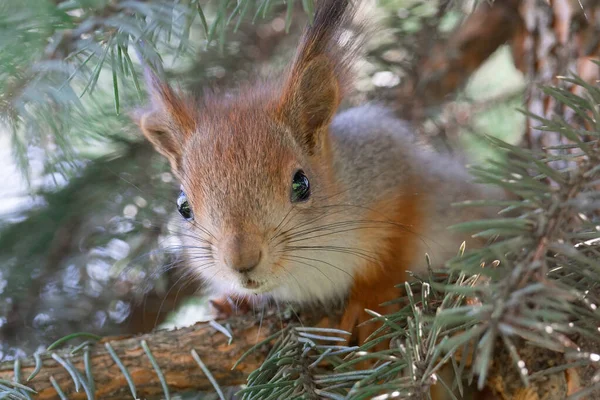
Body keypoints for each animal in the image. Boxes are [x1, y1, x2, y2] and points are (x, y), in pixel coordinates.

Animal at [131, 0, 502, 344]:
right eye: (183, 207)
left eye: (302, 184)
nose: (241, 260)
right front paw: (237, 302)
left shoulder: (393, 172)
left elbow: (395, 251)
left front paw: (369, 302)